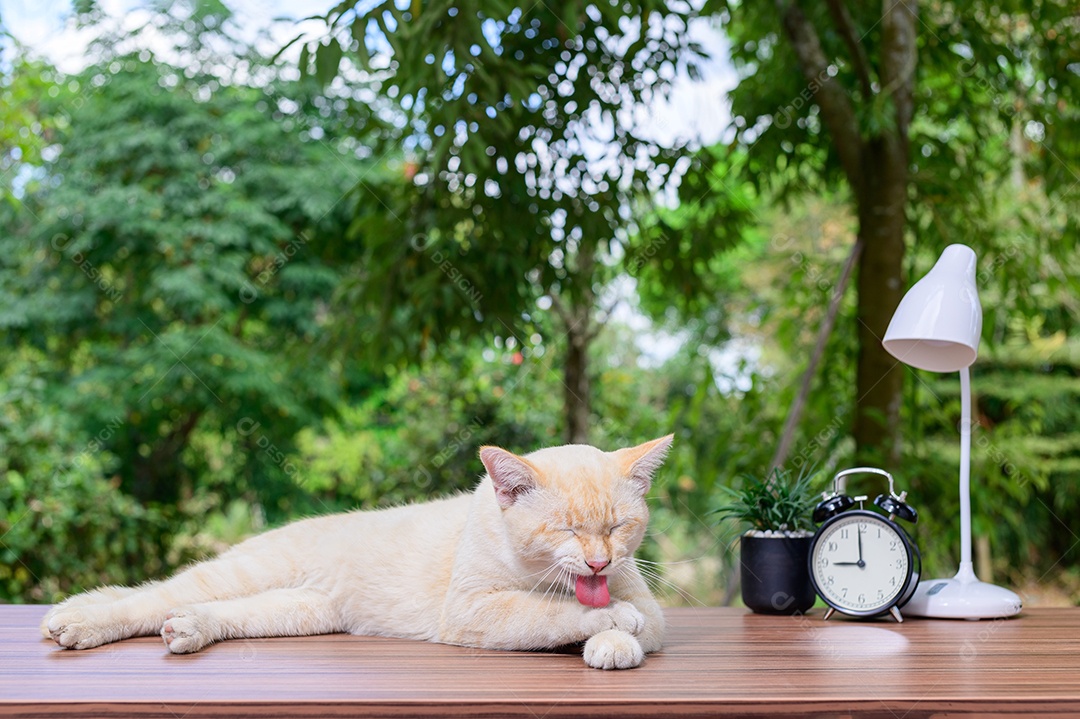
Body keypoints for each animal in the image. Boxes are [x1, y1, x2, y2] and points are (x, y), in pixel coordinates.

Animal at [42, 433, 669, 669]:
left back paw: (189, 629)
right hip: (245, 574)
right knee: (146, 597)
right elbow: (555, 612)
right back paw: (77, 621)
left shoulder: (651, 606)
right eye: (565, 530)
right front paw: (609, 623)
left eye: (618, 528)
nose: (598, 562)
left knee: (203, 612)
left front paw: (613, 640)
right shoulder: (473, 610)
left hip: (300, 612)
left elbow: (629, 620)